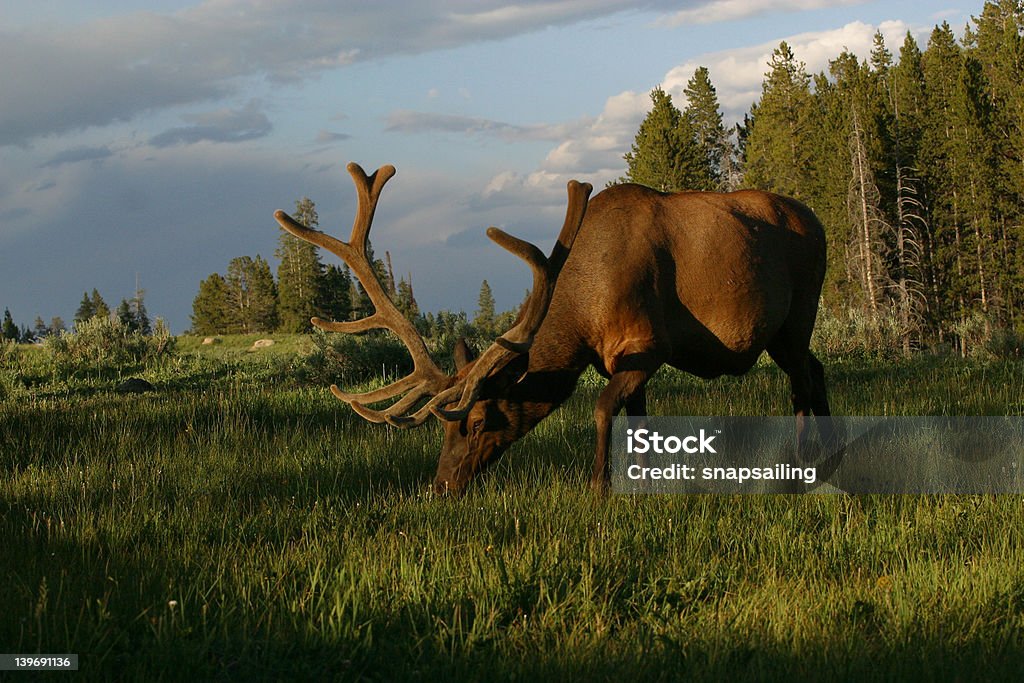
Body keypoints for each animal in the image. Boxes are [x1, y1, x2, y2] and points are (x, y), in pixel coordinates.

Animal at [274, 165, 831, 497]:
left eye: (478, 421)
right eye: (446, 428)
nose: (442, 486)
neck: (581, 308)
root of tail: (819, 220)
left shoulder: (649, 344)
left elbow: (603, 409)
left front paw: (600, 489)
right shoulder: (624, 360)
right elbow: (638, 419)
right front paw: (642, 483)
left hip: (799, 313)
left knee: (803, 379)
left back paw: (808, 463)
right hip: (783, 334)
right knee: (816, 371)